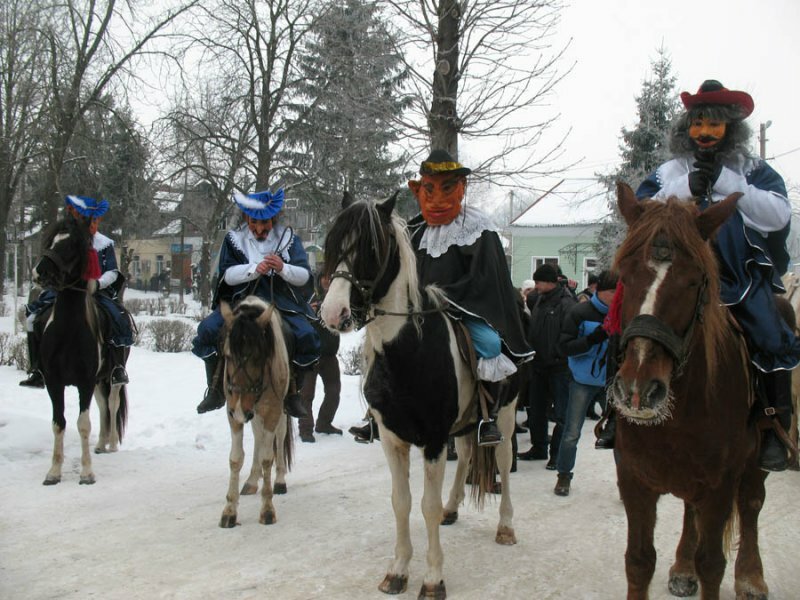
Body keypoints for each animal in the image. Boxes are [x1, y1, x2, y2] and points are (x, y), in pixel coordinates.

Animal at [32, 218, 129, 486]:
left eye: (69, 246)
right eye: (50, 242)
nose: (39, 272)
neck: (68, 329)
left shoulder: (85, 381)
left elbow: (83, 423)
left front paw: (87, 473)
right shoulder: (54, 381)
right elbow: (59, 423)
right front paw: (54, 472)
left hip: (112, 376)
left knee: (113, 402)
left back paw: (112, 444)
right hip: (98, 381)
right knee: (103, 406)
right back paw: (101, 444)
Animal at [217, 294, 292, 524]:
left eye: (258, 357)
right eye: (228, 356)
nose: (242, 409)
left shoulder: (273, 410)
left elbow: (268, 457)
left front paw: (267, 509)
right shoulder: (232, 413)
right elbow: (235, 458)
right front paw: (229, 510)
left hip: (278, 411)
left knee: (279, 436)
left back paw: (279, 480)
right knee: (259, 436)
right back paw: (251, 479)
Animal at [320, 192, 520, 600]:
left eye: (371, 247)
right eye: (332, 244)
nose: (333, 313)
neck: (408, 351)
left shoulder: (433, 440)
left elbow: (426, 505)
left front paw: (432, 578)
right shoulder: (392, 439)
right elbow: (401, 502)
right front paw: (397, 570)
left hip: (505, 415)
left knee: (504, 462)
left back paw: (505, 526)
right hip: (465, 423)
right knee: (466, 458)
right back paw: (453, 508)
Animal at [608, 184, 772, 600]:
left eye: (695, 281)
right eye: (625, 276)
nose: (638, 389)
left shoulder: (719, 487)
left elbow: (712, 563)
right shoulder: (635, 481)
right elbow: (638, 561)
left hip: (755, 464)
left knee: (751, 505)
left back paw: (751, 576)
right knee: (689, 510)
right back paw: (683, 567)